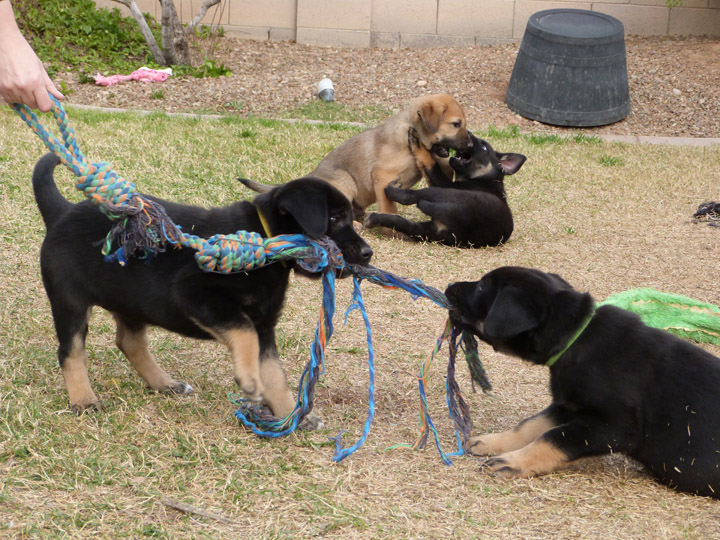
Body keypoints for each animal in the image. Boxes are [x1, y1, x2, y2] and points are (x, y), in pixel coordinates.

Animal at [366, 133, 524, 247]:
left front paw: (417, 143)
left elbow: (430, 164)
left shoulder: (445, 183)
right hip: (432, 231)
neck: (485, 179)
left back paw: (391, 191)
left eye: (485, 148)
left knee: (413, 197)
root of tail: (466, 222)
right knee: (403, 223)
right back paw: (373, 219)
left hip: (445, 193)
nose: (468, 132)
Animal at [444, 268, 720, 500]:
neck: (576, 338)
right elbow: (529, 426)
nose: (449, 286)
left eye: (482, 287)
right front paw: (493, 442)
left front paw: (513, 461)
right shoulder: (568, 404)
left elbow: (554, 437)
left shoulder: (614, 426)